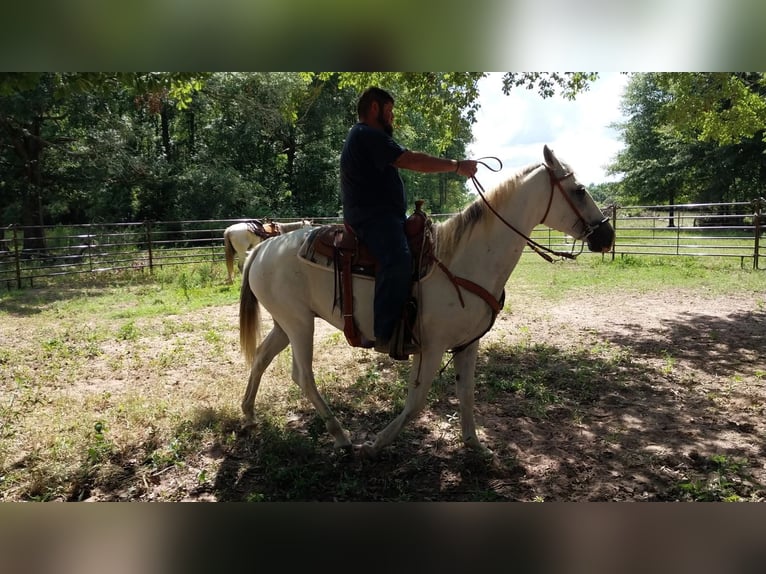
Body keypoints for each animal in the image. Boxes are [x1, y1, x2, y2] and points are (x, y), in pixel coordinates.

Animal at [237, 146, 616, 462]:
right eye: (579, 190)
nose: (607, 235)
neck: (465, 260)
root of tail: (262, 249)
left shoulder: (467, 345)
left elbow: (466, 395)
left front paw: (476, 446)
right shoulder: (431, 347)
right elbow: (417, 402)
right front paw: (376, 444)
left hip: (285, 323)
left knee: (261, 358)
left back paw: (250, 414)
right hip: (300, 324)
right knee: (303, 375)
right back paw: (341, 436)